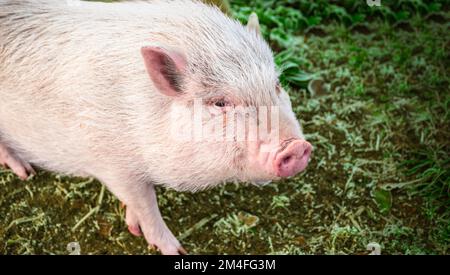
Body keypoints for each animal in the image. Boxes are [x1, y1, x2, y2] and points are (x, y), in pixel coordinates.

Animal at [0, 0, 312, 256]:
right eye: (220, 102)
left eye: (277, 85)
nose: (297, 147)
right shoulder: (114, 167)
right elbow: (146, 204)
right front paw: (176, 249)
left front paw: (133, 225)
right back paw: (26, 173)